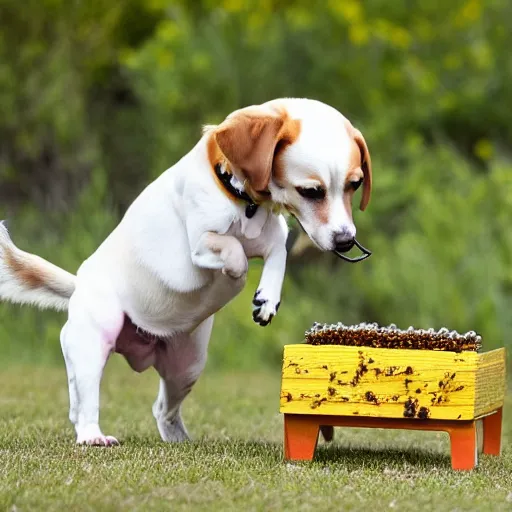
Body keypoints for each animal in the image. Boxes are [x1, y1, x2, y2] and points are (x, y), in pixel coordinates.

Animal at [0, 98, 370, 446]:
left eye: (355, 184)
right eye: (311, 191)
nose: (345, 240)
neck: (241, 197)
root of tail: (78, 285)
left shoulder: (272, 237)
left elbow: (277, 256)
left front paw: (266, 300)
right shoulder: (201, 246)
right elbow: (234, 252)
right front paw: (237, 275)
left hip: (187, 367)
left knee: (158, 409)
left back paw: (177, 438)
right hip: (95, 339)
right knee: (85, 401)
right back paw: (92, 435)